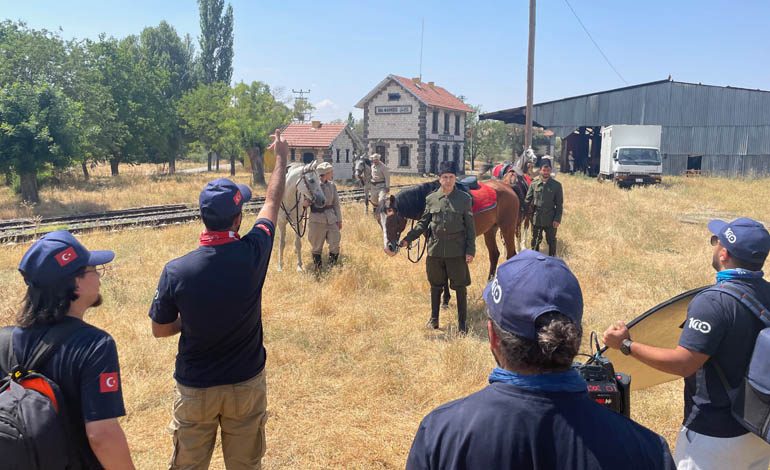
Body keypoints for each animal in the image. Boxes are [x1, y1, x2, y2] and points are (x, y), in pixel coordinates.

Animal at [376, 180, 520, 280]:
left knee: (511, 255)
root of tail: (509, 188)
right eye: (379, 221)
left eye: (394, 218)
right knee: (494, 254)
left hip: (507, 228)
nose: (388, 248)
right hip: (490, 230)